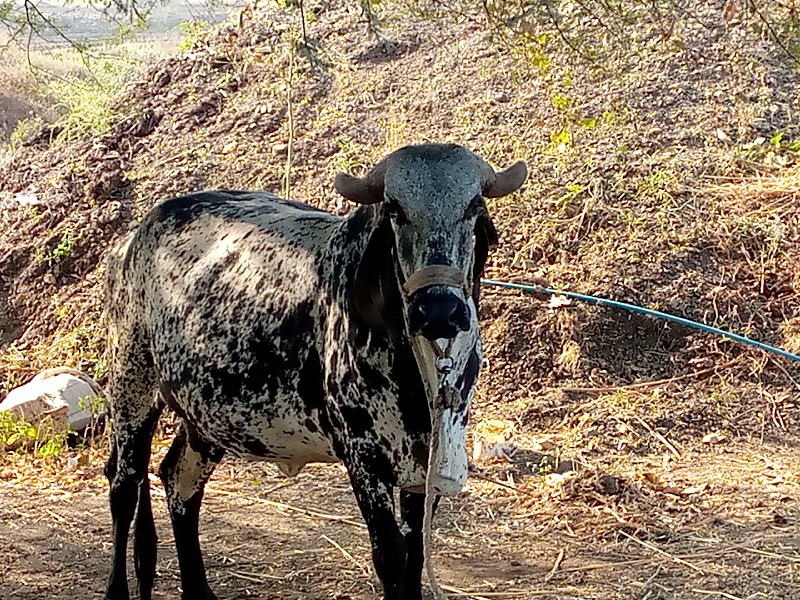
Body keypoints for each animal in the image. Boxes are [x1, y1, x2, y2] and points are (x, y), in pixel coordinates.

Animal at [103, 144, 528, 600]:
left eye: (474, 206)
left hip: (205, 416)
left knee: (179, 483)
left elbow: (415, 553)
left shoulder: (421, 467)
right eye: (395, 209)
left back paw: (200, 592)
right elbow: (391, 556)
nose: (439, 311)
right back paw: (117, 590)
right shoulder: (364, 458)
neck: (417, 374)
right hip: (132, 384)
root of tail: (131, 239)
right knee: (124, 485)